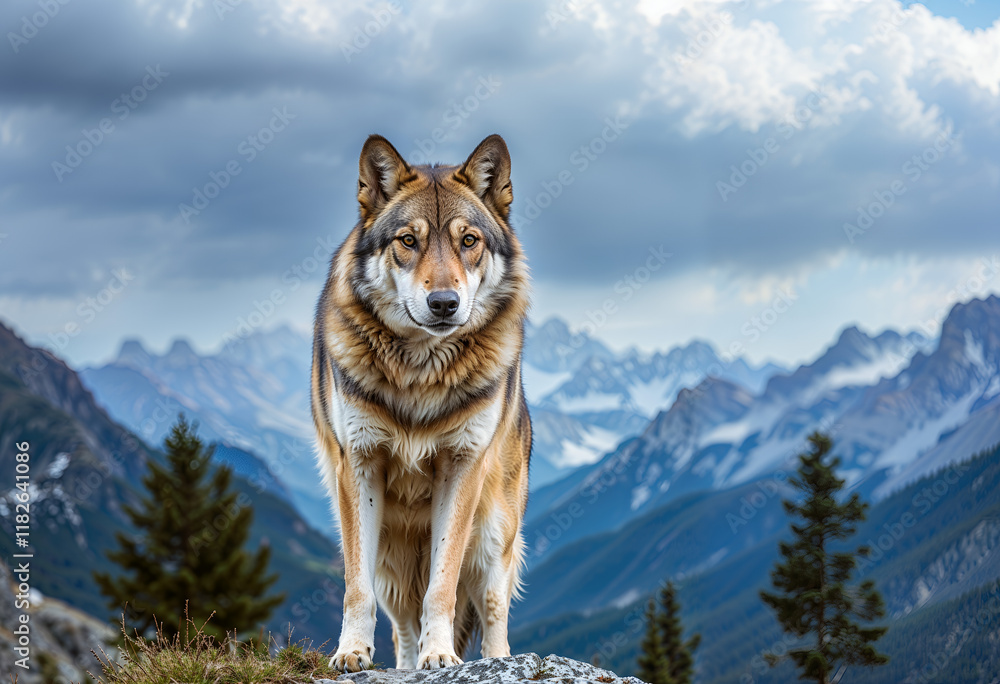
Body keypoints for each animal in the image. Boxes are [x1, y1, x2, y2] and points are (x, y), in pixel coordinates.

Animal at [310, 134, 531, 671]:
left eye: (468, 241)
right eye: (408, 241)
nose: (444, 304)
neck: (420, 374)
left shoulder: (462, 467)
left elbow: (443, 587)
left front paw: (442, 656)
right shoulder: (359, 465)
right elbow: (355, 589)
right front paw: (351, 652)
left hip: (493, 533)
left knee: (492, 607)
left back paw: (496, 659)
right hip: (392, 560)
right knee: (401, 625)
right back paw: (407, 663)